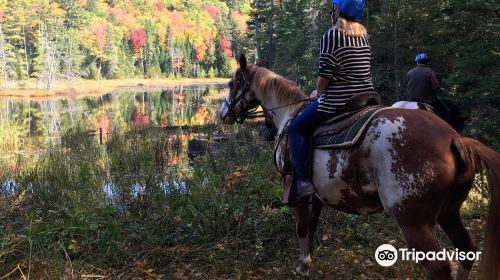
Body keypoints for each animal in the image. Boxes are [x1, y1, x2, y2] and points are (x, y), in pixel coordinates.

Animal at [219, 55, 500, 280]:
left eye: (233, 84)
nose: (223, 113)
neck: (290, 115)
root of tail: (453, 138)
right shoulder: (316, 196)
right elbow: (312, 226)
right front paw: (309, 261)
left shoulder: (293, 190)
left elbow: (301, 227)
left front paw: (302, 265)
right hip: (450, 212)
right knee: (466, 251)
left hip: (413, 222)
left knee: (439, 268)